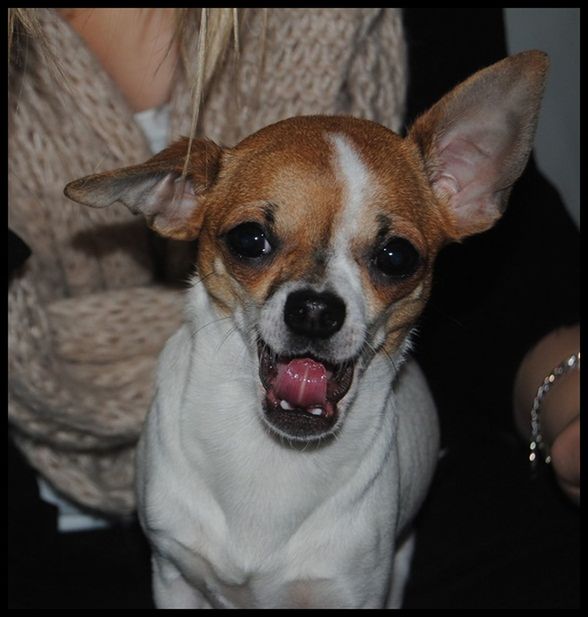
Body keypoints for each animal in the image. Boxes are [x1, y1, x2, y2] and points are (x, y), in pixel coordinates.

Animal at [66, 51, 548, 608]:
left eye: (397, 256)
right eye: (249, 239)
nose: (315, 310)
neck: (274, 458)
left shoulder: (353, 591)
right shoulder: (173, 577)